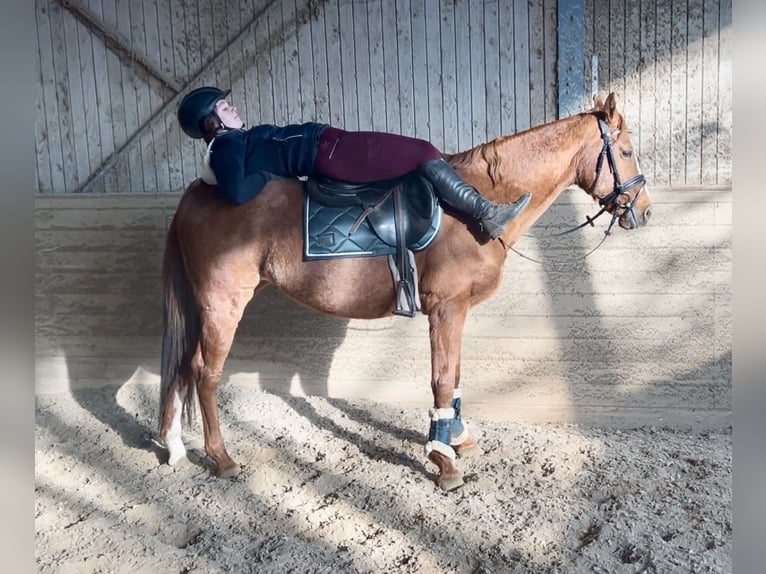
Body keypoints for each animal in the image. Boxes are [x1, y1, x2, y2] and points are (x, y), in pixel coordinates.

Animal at [158, 93, 656, 490]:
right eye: (626, 150)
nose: (645, 212)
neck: (476, 204)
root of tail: (195, 194)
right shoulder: (446, 309)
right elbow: (442, 379)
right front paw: (443, 461)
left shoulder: (459, 312)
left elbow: (455, 375)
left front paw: (456, 439)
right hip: (223, 306)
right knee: (204, 372)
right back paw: (221, 458)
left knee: (182, 366)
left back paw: (174, 446)